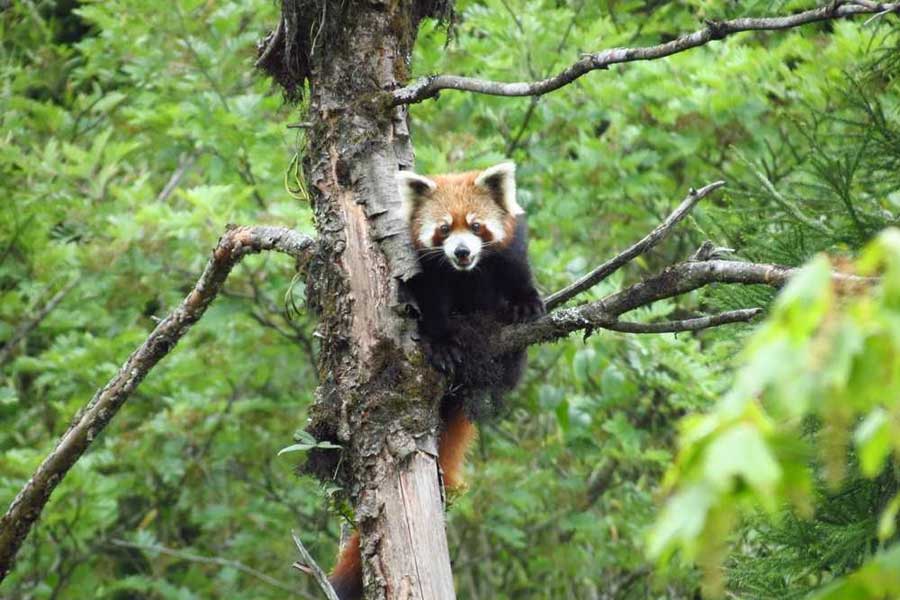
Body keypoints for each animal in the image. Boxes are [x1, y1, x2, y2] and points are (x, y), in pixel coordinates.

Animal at [328, 162, 540, 596]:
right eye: (444, 229)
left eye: (475, 226)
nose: (461, 252)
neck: (466, 275)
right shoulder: (427, 272)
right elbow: (432, 307)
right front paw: (442, 343)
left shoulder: (509, 251)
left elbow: (517, 275)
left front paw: (525, 302)